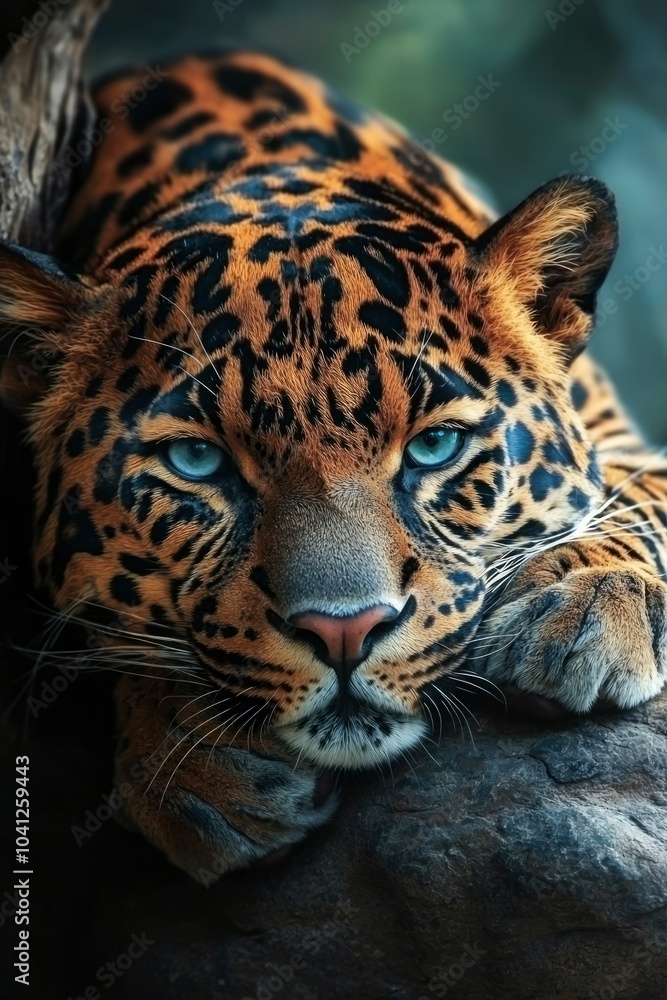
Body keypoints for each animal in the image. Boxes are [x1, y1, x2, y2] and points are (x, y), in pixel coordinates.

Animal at [1, 50, 666, 883]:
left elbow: (639, 493)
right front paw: (187, 756)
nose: (344, 632)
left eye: (433, 447)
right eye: (197, 460)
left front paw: (586, 607)